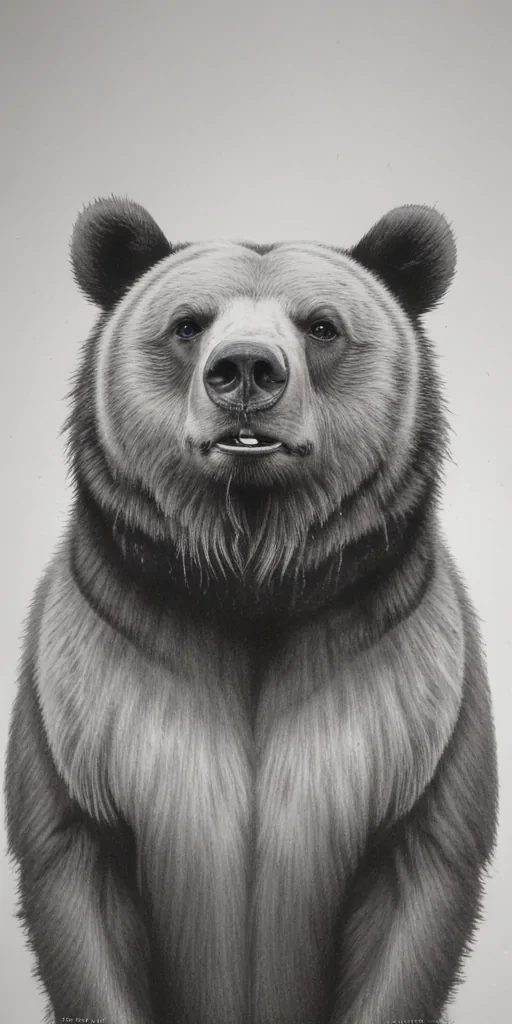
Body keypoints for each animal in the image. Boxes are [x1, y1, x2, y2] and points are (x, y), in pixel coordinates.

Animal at [4, 197, 498, 1024]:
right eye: (188, 323)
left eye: (322, 325)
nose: (245, 371)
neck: (251, 573)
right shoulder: (85, 700)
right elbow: (80, 887)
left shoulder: (414, 707)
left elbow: (415, 893)